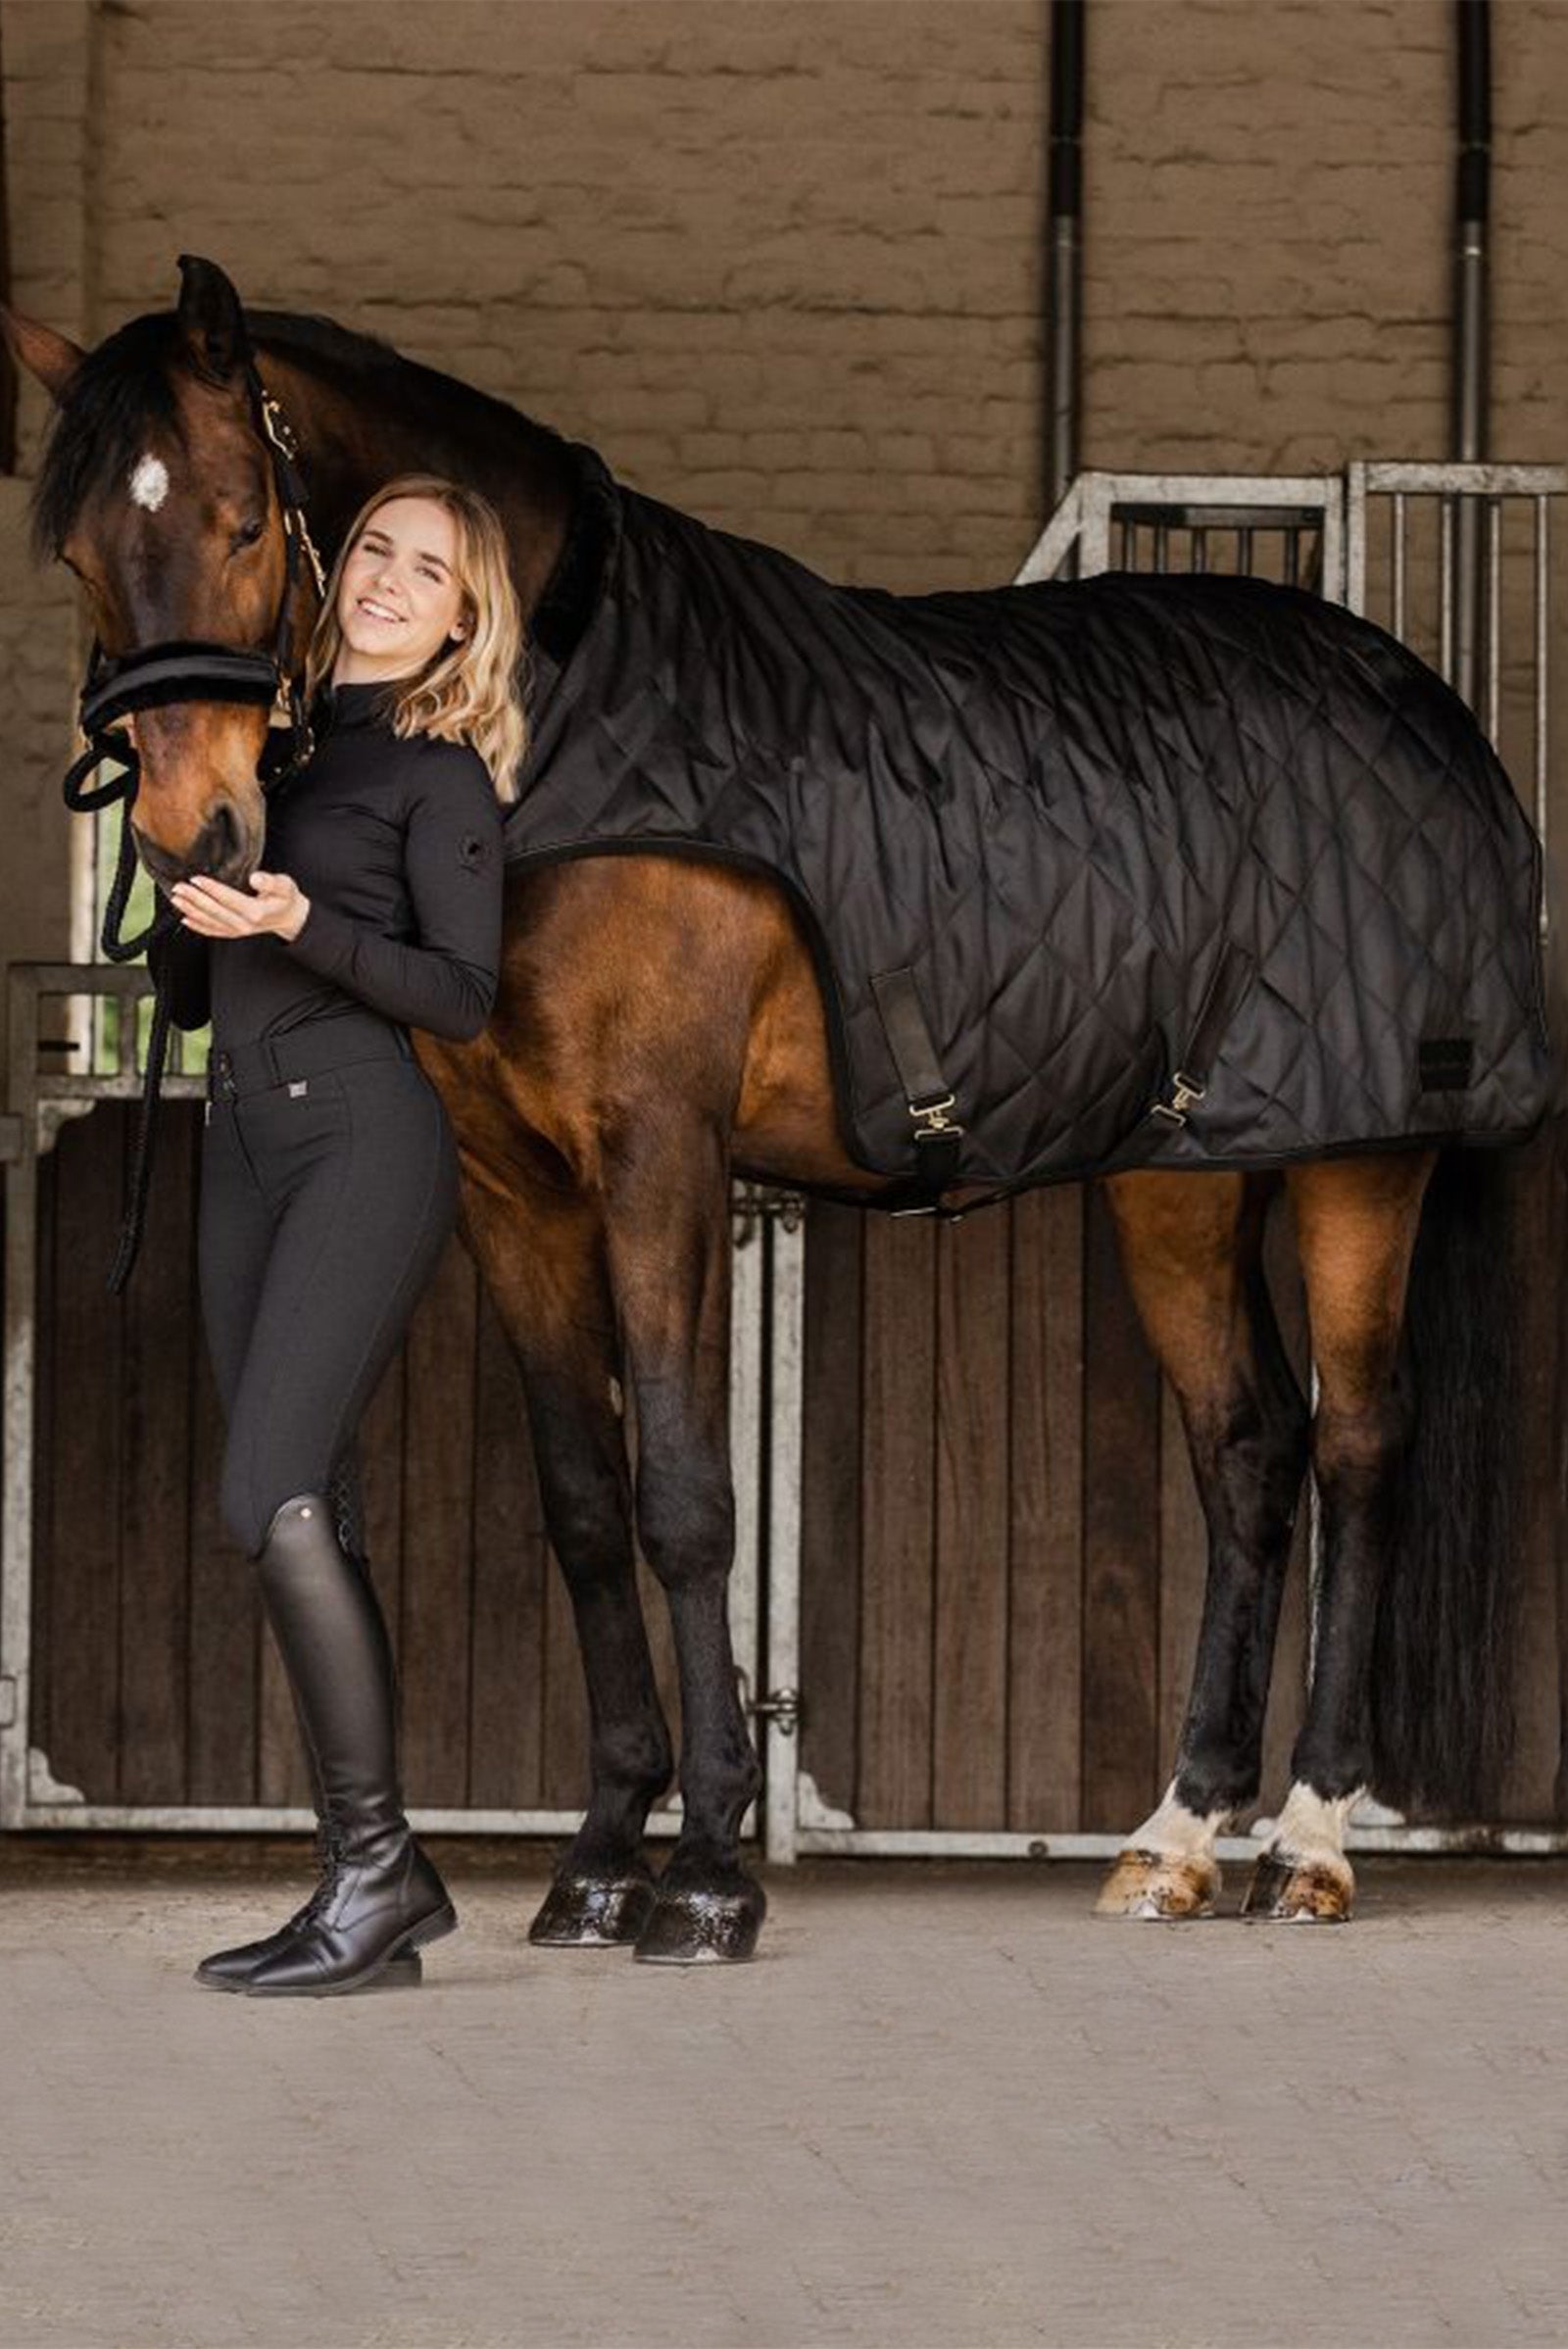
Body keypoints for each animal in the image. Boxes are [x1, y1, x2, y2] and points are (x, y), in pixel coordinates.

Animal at [5, 254, 1549, 1960]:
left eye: (238, 522)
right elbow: (584, 1506)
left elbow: (685, 1496)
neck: (560, 719)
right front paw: (600, 1859)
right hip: (1190, 1172)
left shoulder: (659, 1156)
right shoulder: (512, 1187)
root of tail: (1418, 701)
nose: (195, 834)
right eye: (77, 549)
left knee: (1358, 1450)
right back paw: (1178, 1837)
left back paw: (1315, 1844)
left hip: (1361, 1166)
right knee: (1248, 1455)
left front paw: (707, 1874)